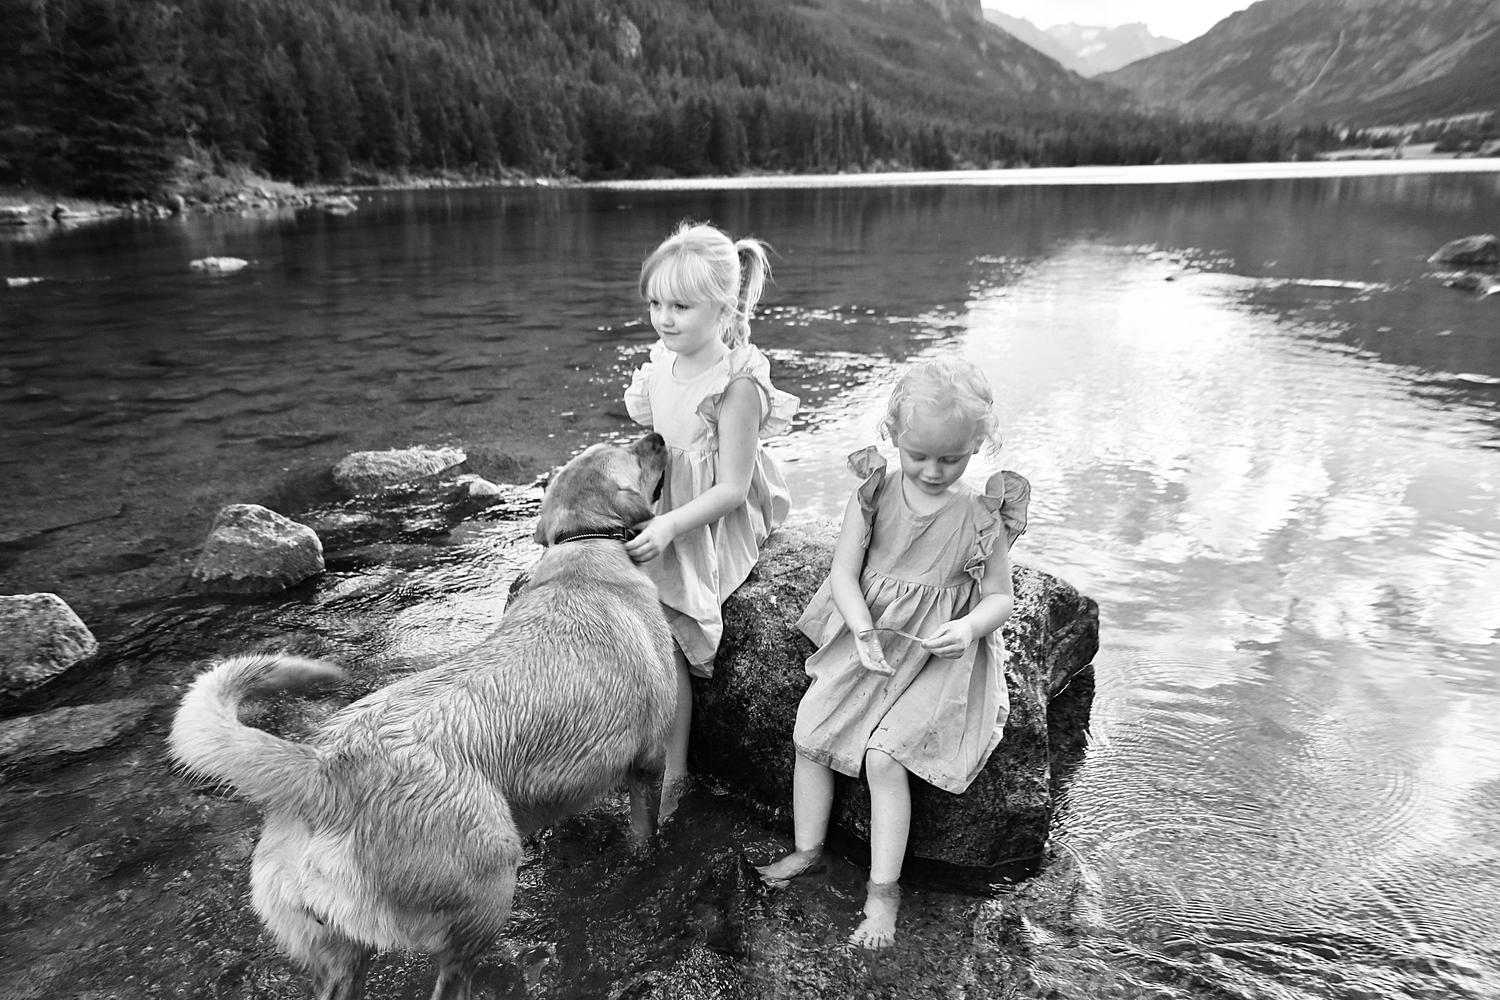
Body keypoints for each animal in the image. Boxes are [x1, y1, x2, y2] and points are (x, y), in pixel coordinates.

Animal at [170, 433, 675, 1000]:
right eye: (634, 452)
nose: (657, 436)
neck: (583, 545)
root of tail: (322, 771)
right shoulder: (649, 763)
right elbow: (645, 835)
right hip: (490, 882)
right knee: (453, 977)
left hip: (338, 954)